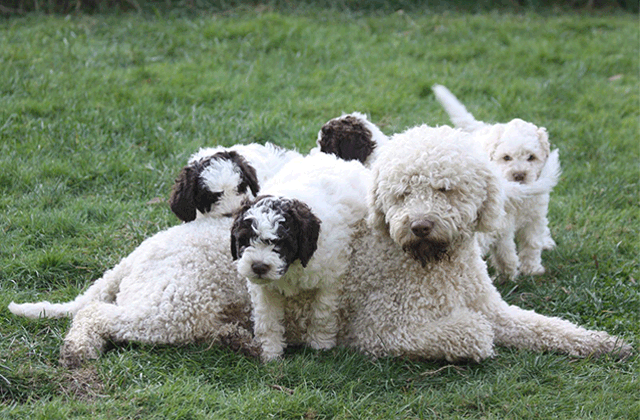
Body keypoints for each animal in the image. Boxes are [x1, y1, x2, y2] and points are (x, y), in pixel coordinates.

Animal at [230, 153, 370, 362]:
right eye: (245, 240)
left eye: (280, 243)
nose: (259, 267)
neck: (293, 265)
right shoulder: (263, 289)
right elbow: (267, 319)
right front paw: (270, 353)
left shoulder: (331, 278)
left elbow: (323, 313)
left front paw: (320, 344)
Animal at [336, 126, 632, 362]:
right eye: (402, 193)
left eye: (445, 189)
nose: (420, 226)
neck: (439, 262)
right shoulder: (381, 330)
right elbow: (476, 331)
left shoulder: (492, 308)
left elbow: (546, 326)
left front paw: (603, 342)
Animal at [432, 83, 564, 278]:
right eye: (506, 157)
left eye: (531, 157)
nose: (519, 175)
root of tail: (483, 128)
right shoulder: (503, 220)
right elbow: (506, 245)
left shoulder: (534, 214)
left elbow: (532, 242)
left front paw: (532, 269)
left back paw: (546, 241)